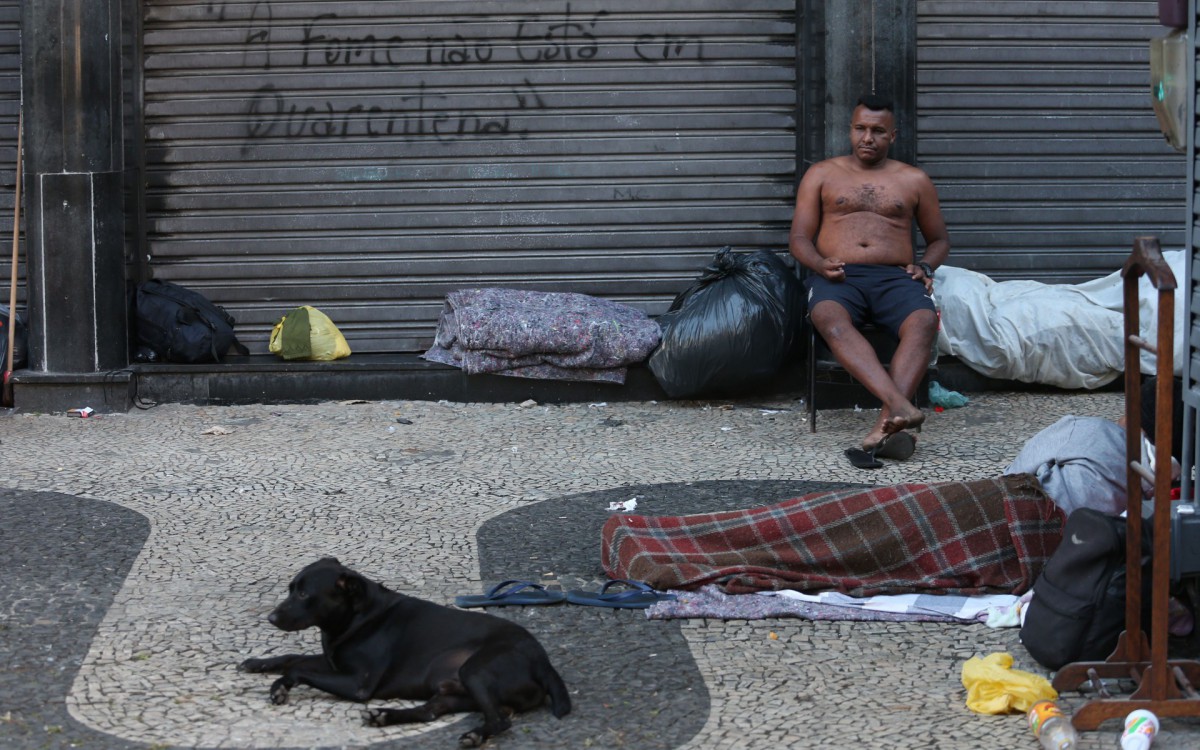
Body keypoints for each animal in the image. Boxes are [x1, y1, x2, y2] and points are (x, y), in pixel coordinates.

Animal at [240, 556, 571, 744]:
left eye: (304, 594)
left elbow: (297, 669)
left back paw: (475, 735)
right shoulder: (333, 663)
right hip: (452, 692)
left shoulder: (356, 683)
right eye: (290, 589)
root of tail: (543, 662)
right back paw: (385, 717)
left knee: (500, 720)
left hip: (474, 670)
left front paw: (281, 686)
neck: (358, 616)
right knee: (428, 713)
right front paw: (258, 663)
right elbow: (291, 658)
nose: (271, 618)